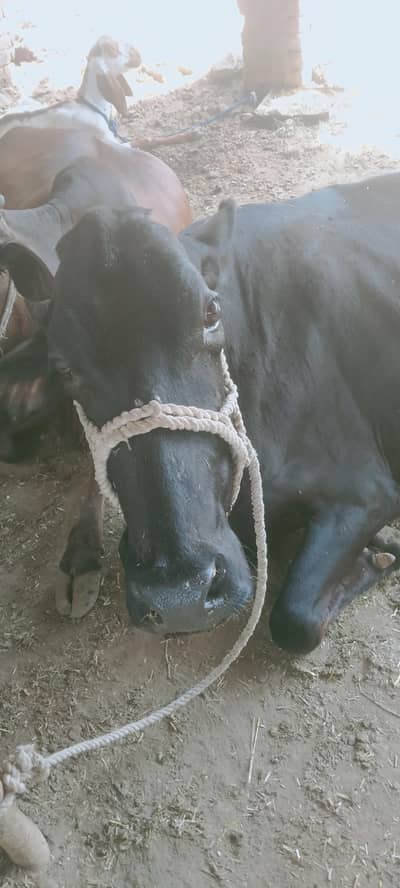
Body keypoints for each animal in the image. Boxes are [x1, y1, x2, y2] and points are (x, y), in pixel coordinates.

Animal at [1, 173, 400, 650]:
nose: (181, 598)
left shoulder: (367, 491)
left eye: (211, 312)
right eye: (64, 366)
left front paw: (378, 555)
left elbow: (294, 618)